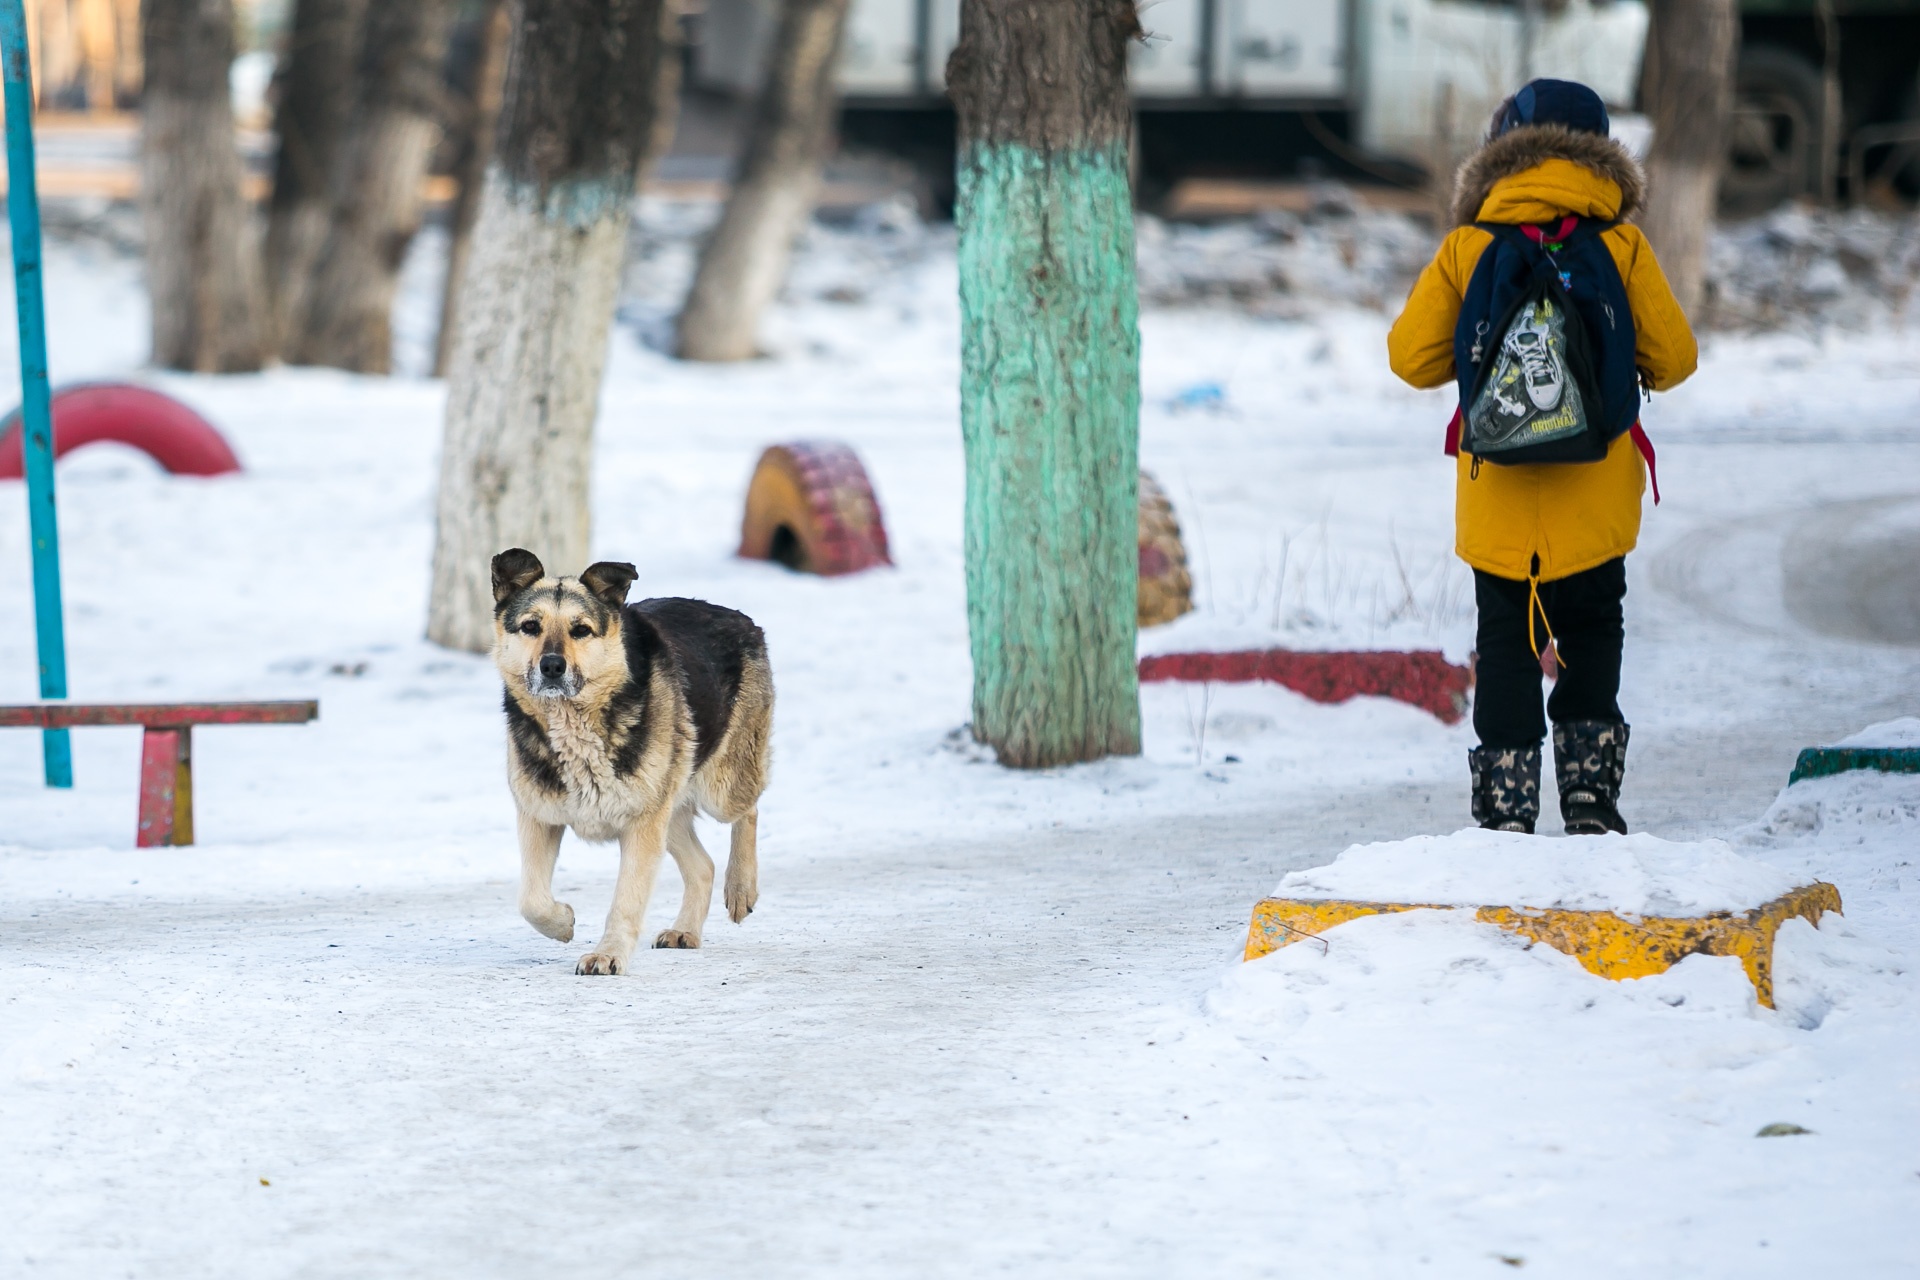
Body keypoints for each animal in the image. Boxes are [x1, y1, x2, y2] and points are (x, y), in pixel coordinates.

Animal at [487, 545, 771, 974]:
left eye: (581, 630)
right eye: (530, 626)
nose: (552, 666)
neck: (575, 726)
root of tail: (740, 618)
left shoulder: (641, 825)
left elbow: (625, 900)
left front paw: (607, 954)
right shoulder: (539, 815)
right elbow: (531, 900)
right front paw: (562, 922)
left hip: (718, 790)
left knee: (750, 809)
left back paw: (741, 888)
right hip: (668, 808)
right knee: (703, 866)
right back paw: (685, 930)